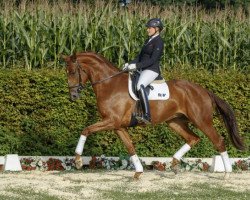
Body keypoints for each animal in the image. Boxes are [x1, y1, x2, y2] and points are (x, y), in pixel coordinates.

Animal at [62, 52, 244, 179]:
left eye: (73, 72)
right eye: (67, 72)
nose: (73, 96)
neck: (109, 84)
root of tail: (204, 90)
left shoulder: (111, 121)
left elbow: (86, 130)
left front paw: (78, 161)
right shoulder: (118, 126)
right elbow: (130, 147)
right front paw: (138, 172)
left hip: (202, 121)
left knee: (218, 141)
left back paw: (227, 174)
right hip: (175, 122)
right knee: (193, 138)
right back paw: (175, 164)